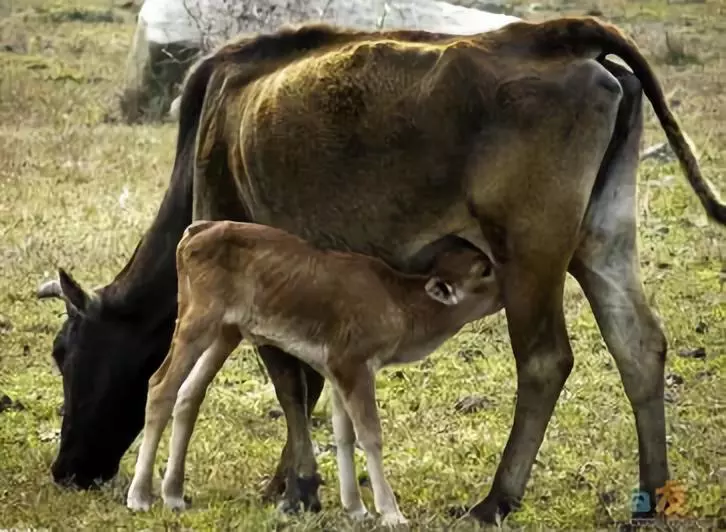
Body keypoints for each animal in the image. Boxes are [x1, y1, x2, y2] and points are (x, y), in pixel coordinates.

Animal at [37, 15, 724, 524]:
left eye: (63, 352)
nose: (67, 471)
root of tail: (553, 35)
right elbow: (315, 386)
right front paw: (297, 484)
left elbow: (289, 382)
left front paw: (298, 488)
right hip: (603, 239)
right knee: (639, 344)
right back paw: (654, 494)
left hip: (529, 250)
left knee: (545, 360)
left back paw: (495, 499)